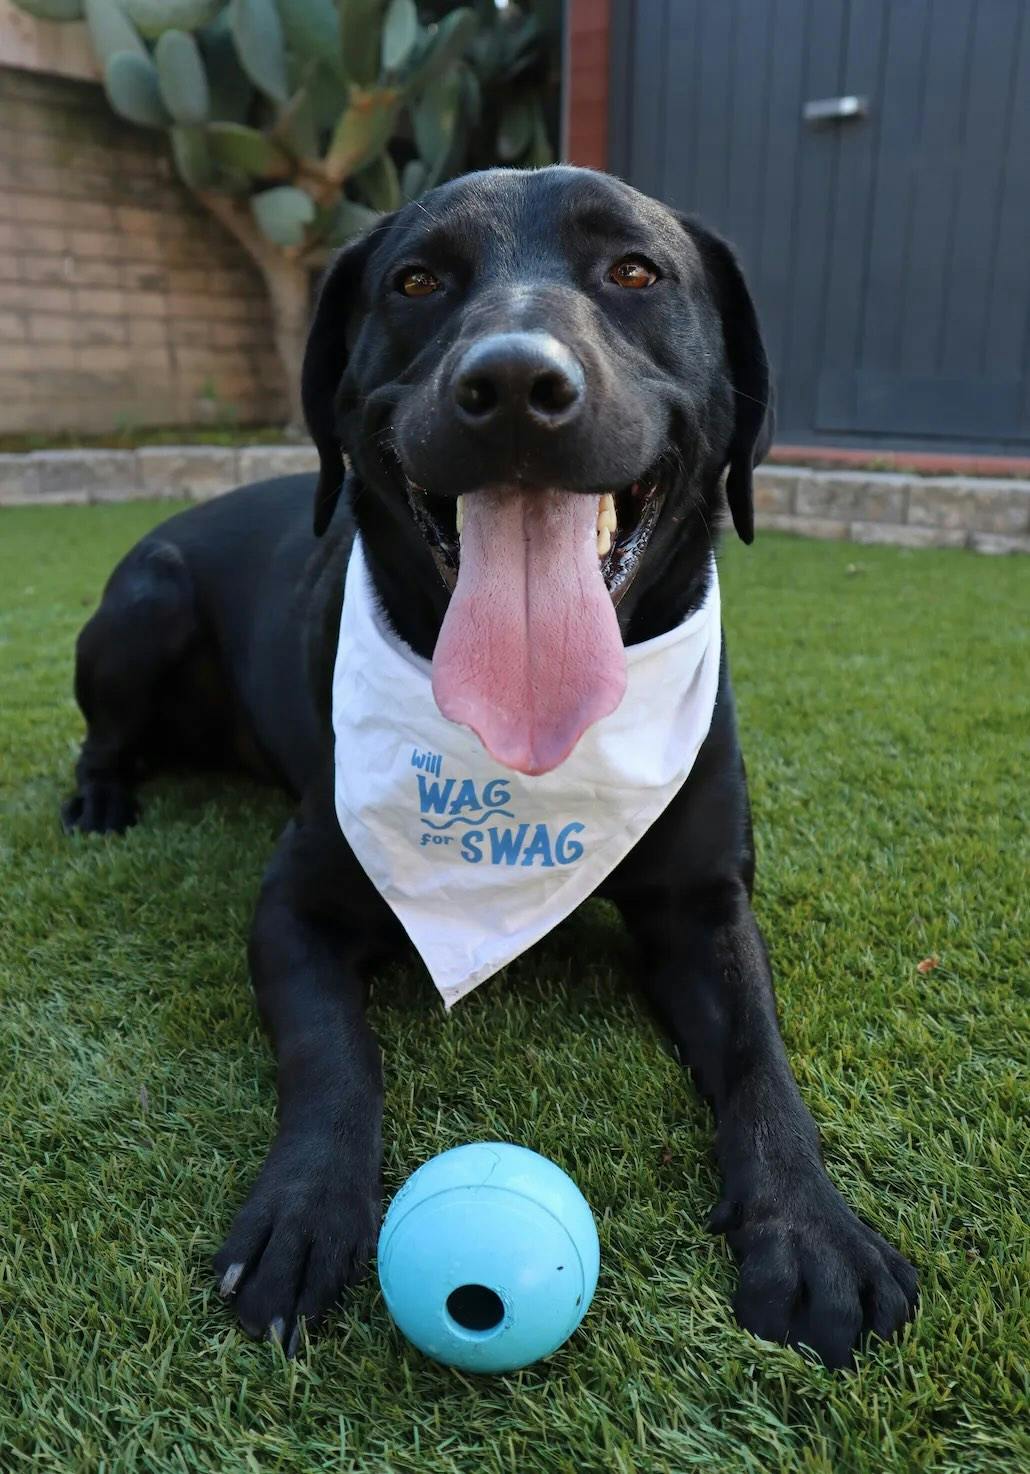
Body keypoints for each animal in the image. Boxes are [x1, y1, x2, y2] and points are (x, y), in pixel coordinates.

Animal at [64, 166, 916, 1367]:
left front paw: (814, 1235)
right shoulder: (293, 908)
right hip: (145, 604)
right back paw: (99, 797)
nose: (514, 382)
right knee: (106, 731)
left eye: (635, 271)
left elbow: (762, 1060)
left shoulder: (706, 907)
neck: (527, 756)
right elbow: (334, 1051)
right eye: (417, 281)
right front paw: (304, 1208)